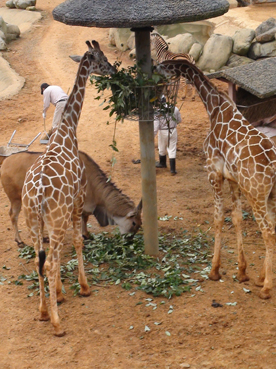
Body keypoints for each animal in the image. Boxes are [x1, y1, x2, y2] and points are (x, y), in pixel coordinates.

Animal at [22, 38, 116, 334]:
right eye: (101, 58)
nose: (112, 69)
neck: (68, 130)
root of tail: (36, 194)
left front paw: (60, 293)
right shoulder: (78, 198)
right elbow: (77, 241)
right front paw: (83, 288)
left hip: (33, 220)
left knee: (39, 260)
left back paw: (43, 312)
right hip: (56, 215)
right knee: (50, 261)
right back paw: (56, 322)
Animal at [156, 58, 276, 300]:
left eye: (165, 65)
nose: (154, 69)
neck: (213, 107)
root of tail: (274, 166)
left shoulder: (213, 172)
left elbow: (218, 218)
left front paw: (214, 270)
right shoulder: (232, 179)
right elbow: (237, 218)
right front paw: (242, 272)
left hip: (257, 194)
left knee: (268, 232)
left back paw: (267, 287)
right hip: (270, 195)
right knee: (274, 228)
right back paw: (261, 278)